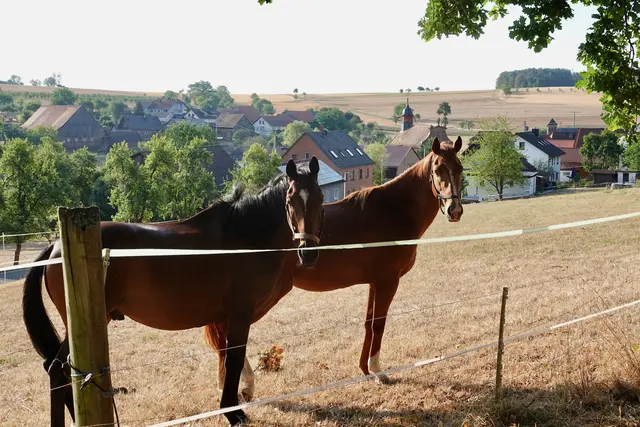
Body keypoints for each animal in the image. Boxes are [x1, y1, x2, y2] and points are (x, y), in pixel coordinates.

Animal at [22, 157, 325, 427]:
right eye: (290, 200)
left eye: (320, 199)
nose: (308, 253)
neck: (245, 238)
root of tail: (56, 247)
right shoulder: (240, 314)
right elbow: (234, 360)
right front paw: (233, 412)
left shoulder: (225, 318)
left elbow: (227, 359)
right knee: (58, 369)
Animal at [205, 136, 464, 399]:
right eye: (437, 170)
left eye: (460, 168)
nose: (454, 210)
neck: (395, 209)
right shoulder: (388, 281)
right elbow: (379, 324)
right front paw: (378, 371)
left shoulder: (374, 282)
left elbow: (369, 323)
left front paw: (364, 369)